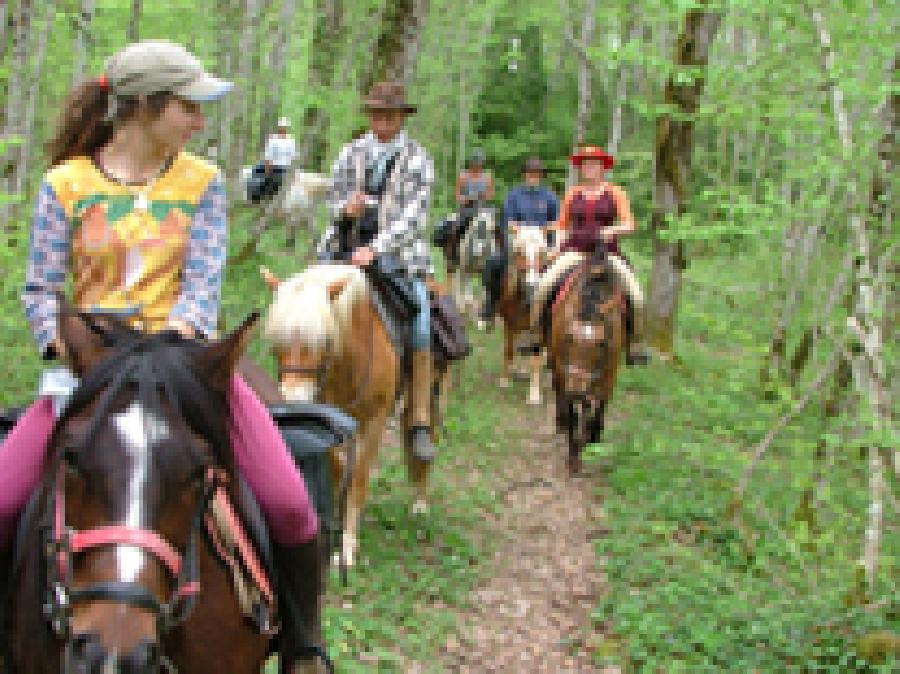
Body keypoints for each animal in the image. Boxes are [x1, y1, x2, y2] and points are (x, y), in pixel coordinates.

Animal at [260, 264, 446, 568]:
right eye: (277, 343)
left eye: (325, 339)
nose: (293, 400)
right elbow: (337, 468)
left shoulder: (375, 421)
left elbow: (359, 476)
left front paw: (347, 547)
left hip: (432, 395)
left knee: (425, 433)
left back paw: (420, 501)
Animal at [496, 224, 552, 404]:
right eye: (519, 251)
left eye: (542, 252)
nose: (532, 285)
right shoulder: (509, 324)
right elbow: (509, 350)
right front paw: (505, 380)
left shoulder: (538, 329)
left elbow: (535, 359)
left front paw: (534, 395)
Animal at [540, 249, 624, 476]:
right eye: (569, 337)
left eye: (602, 343)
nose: (577, 388)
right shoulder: (565, 373)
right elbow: (572, 413)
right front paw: (573, 456)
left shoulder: (608, 375)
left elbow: (598, 409)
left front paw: (591, 438)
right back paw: (561, 420)